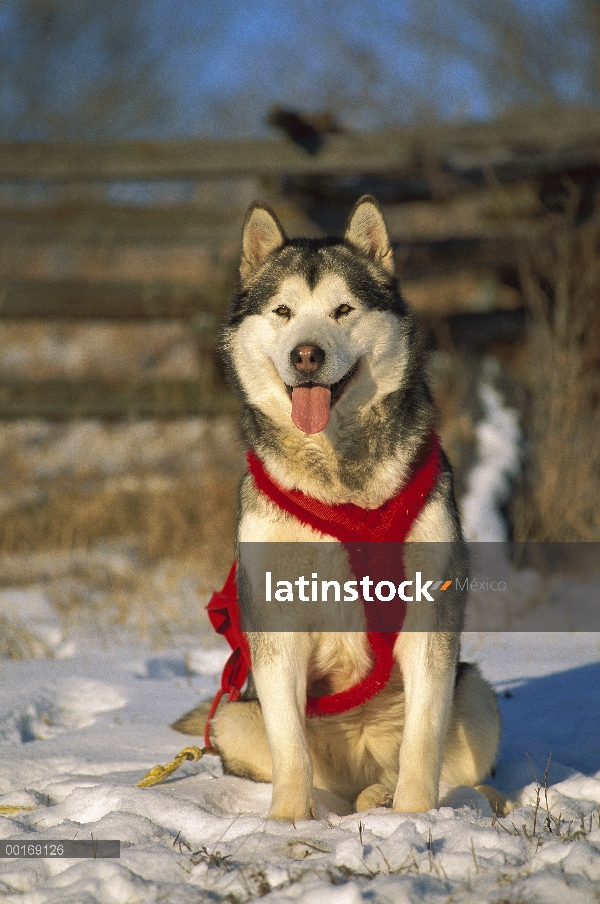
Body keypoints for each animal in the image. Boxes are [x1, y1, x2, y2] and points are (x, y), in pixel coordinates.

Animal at [176, 196, 504, 820]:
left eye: (343, 309)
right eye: (282, 311)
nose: (308, 354)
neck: (338, 477)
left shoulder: (430, 617)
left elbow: (423, 741)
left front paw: (415, 818)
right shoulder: (274, 623)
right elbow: (290, 745)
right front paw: (286, 821)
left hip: (477, 694)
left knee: (451, 765)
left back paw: (436, 799)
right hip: (234, 714)